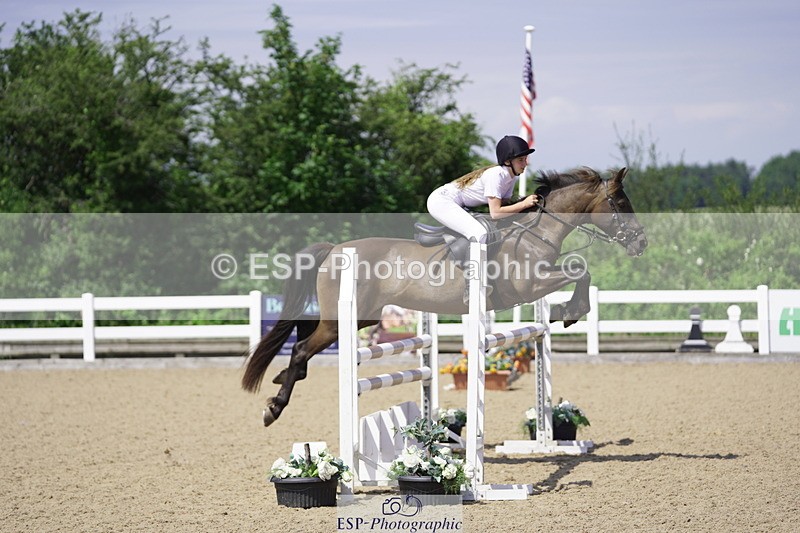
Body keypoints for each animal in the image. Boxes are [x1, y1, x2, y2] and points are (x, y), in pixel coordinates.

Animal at [242, 167, 647, 427]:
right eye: (619, 201)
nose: (641, 243)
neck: (537, 232)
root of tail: (336, 249)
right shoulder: (530, 286)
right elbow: (580, 271)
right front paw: (571, 311)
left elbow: (581, 271)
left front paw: (567, 311)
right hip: (340, 320)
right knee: (302, 347)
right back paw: (274, 408)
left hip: (362, 317)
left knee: (306, 338)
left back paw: (282, 377)